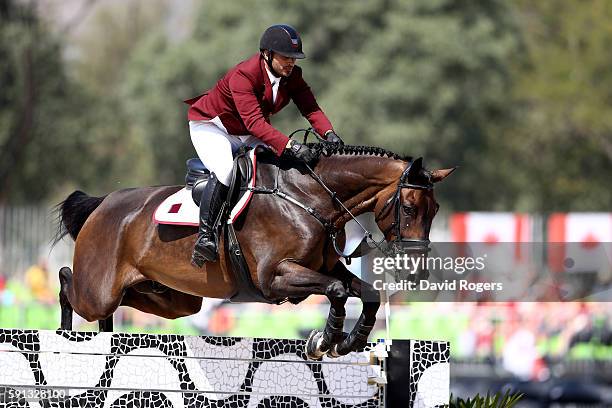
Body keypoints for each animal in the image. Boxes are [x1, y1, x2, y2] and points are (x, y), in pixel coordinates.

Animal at [53, 144, 454, 360]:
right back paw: (66, 334)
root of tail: (103, 204)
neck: (309, 198)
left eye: (435, 210)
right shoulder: (275, 278)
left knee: (121, 304)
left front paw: (349, 342)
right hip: (99, 290)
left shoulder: (325, 268)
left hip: (171, 299)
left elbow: (366, 293)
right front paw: (323, 341)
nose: (417, 272)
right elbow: (337, 292)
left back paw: (104, 338)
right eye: (410, 209)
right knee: (68, 283)